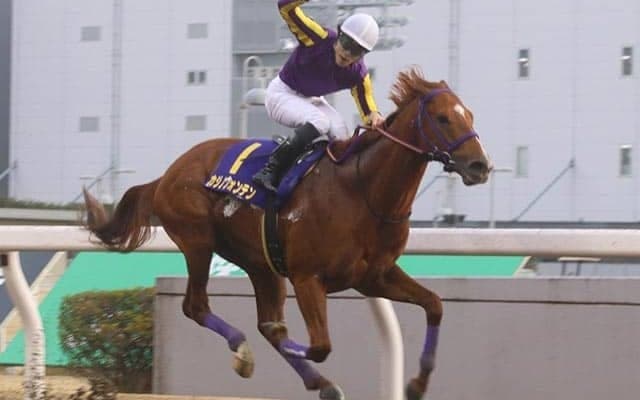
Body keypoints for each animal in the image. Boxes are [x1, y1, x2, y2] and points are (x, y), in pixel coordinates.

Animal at [83, 67, 492, 400]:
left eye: (470, 114)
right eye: (443, 118)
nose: (480, 166)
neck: (362, 191)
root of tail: (168, 173)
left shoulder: (375, 276)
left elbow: (434, 304)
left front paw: (417, 383)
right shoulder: (308, 276)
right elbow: (319, 345)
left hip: (260, 263)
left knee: (262, 321)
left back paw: (316, 381)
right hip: (197, 241)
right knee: (197, 307)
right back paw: (244, 352)